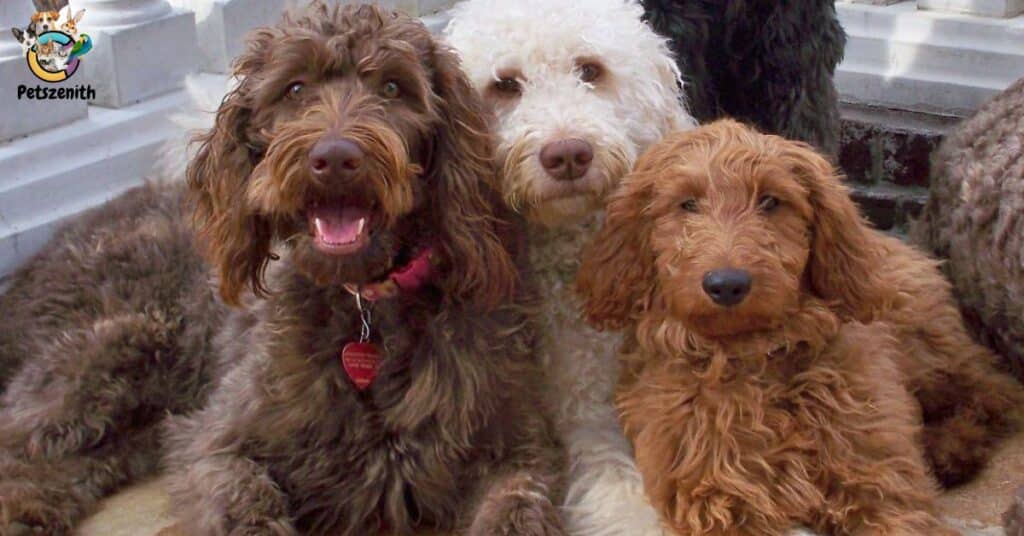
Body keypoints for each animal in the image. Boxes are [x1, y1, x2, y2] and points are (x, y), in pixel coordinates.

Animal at [0, 3, 565, 532]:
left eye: (393, 87)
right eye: (294, 88)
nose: (335, 159)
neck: (364, 309)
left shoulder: (509, 445)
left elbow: (518, 508)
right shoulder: (217, 442)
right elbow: (245, 502)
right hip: (117, 342)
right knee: (22, 438)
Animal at [581, 121, 1019, 536]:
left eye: (771, 201)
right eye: (686, 204)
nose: (727, 285)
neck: (753, 358)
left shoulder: (880, 482)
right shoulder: (720, 498)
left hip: (927, 346)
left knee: (990, 389)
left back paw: (949, 447)